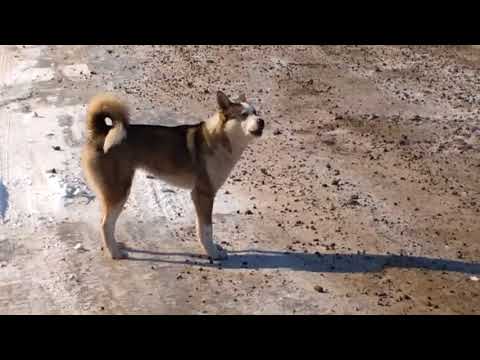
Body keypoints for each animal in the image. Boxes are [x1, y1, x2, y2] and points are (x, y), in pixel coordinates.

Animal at [80, 89, 264, 258]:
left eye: (256, 112)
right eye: (243, 115)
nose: (262, 121)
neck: (219, 139)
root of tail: (102, 131)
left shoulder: (198, 197)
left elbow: (200, 227)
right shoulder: (204, 194)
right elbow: (207, 229)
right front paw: (213, 253)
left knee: (105, 222)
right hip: (119, 191)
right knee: (105, 224)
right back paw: (115, 253)